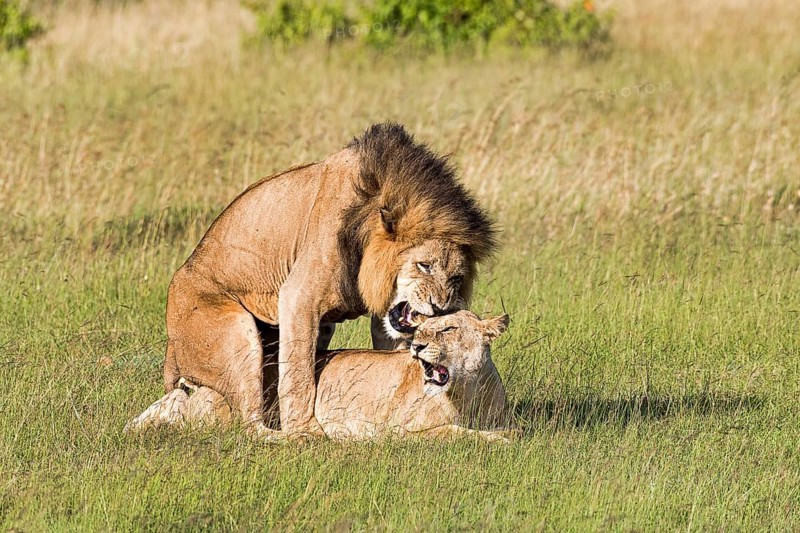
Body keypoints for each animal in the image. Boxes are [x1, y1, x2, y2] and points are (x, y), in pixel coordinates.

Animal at [126, 311, 514, 442]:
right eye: (421, 330)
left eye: (447, 329)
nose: (417, 346)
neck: (468, 392)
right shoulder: (401, 432)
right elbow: (453, 433)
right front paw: (500, 440)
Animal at [160, 123, 497, 437]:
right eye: (424, 265)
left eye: (456, 278)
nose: (440, 307)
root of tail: (171, 357)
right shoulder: (297, 297)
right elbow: (298, 376)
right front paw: (305, 428)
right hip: (236, 335)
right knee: (250, 424)